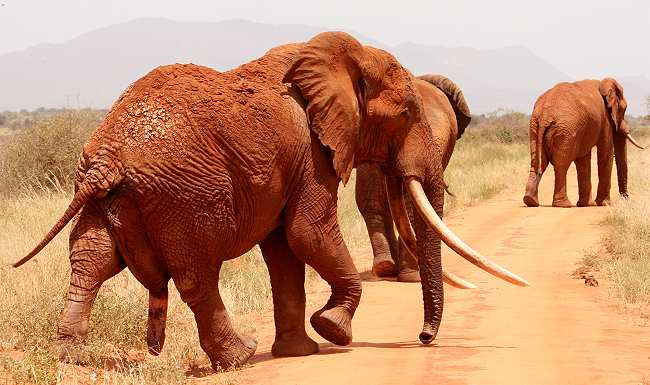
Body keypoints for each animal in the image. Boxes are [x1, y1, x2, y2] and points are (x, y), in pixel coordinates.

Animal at [520, 77, 644, 207]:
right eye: (624, 109)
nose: (625, 199)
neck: (603, 84)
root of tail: (544, 115)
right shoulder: (605, 120)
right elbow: (605, 153)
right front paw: (604, 203)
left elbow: (583, 159)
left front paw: (587, 204)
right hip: (566, 130)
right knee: (561, 164)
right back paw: (563, 205)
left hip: (535, 127)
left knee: (538, 162)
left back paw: (530, 201)